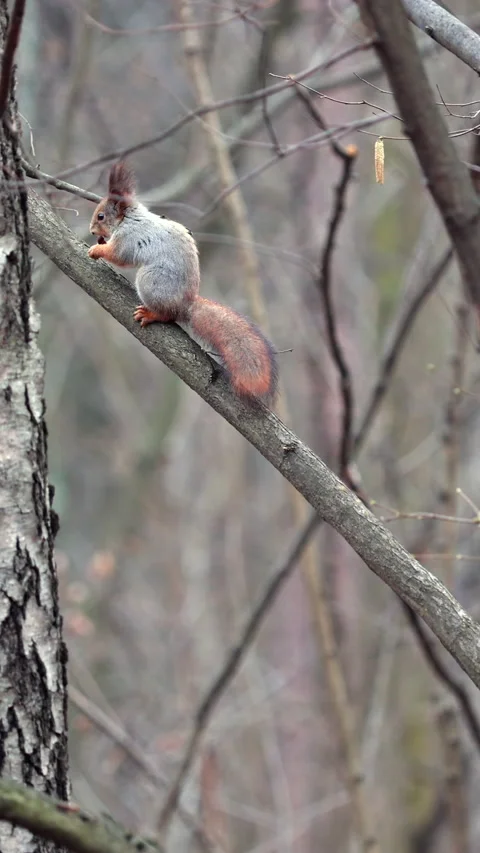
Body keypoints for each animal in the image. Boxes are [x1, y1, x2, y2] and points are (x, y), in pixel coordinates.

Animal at [88, 162, 278, 404]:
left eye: (101, 216)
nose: (92, 231)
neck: (129, 218)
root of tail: (185, 305)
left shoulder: (129, 238)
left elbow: (119, 256)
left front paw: (97, 249)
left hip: (150, 281)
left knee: (168, 314)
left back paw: (152, 314)